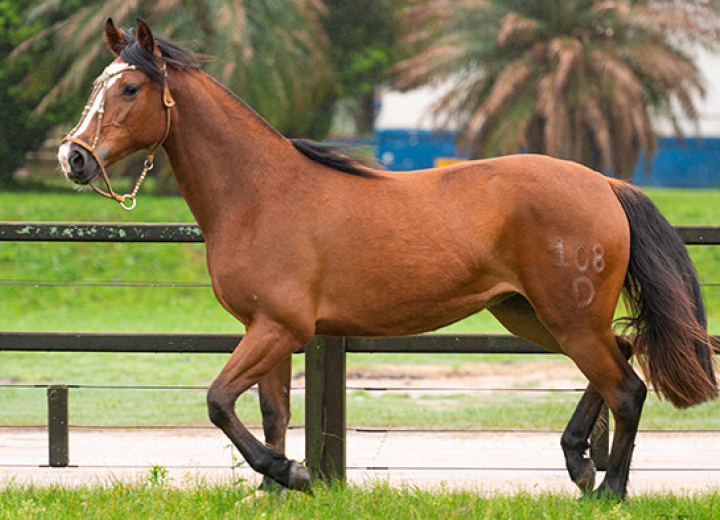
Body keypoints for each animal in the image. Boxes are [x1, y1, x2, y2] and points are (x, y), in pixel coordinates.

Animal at [59, 19, 716, 500]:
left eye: (130, 88)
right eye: (97, 85)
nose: (74, 158)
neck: (260, 193)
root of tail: (604, 182)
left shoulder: (279, 328)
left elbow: (220, 401)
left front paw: (293, 474)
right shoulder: (265, 330)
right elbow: (272, 413)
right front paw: (273, 490)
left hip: (567, 319)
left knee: (626, 388)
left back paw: (609, 489)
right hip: (531, 315)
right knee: (619, 359)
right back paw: (579, 463)